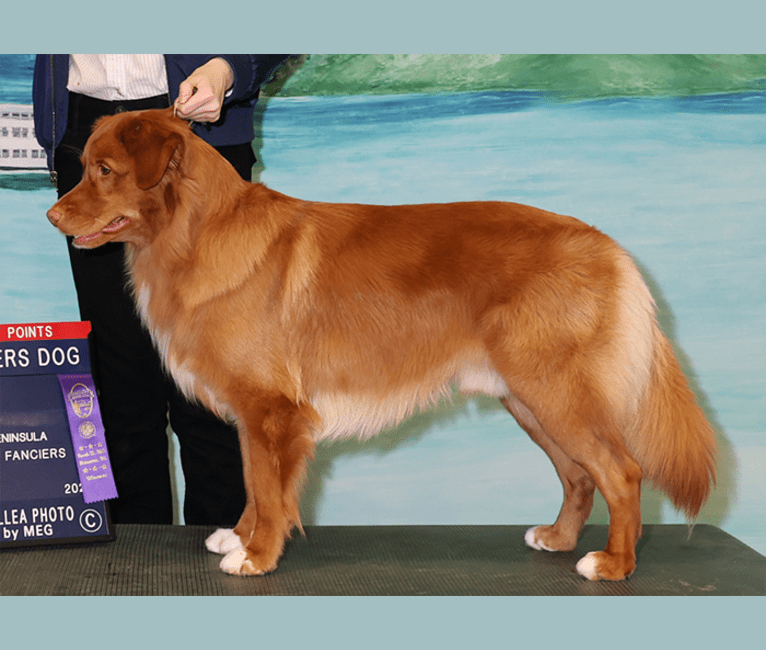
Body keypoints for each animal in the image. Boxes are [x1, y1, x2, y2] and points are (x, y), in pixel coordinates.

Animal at [49, 107, 720, 584]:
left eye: (104, 170)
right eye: (86, 165)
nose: (53, 217)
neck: (195, 231)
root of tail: (608, 246)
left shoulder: (272, 409)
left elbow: (269, 486)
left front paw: (257, 555)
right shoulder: (251, 411)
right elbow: (252, 481)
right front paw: (239, 536)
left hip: (557, 390)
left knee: (622, 471)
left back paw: (613, 564)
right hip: (529, 398)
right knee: (580, 475)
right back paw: (557, 540)